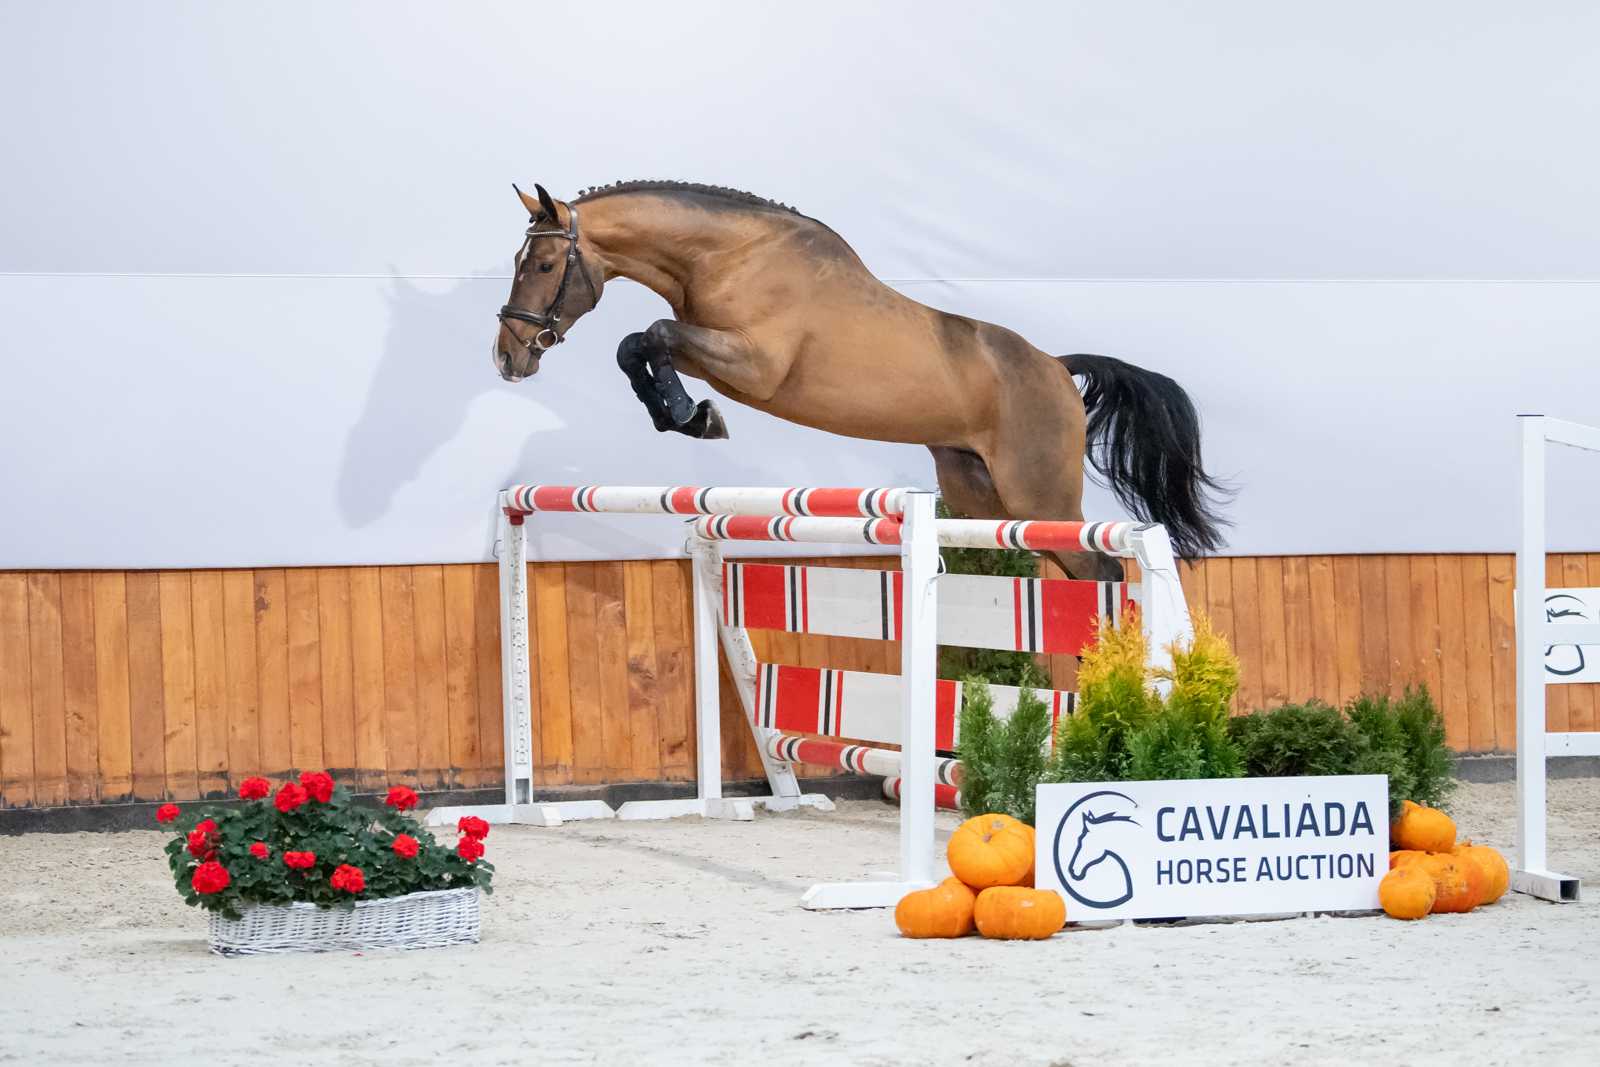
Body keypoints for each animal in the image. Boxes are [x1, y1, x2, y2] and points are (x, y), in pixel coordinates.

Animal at [491, 180, 1228, 580]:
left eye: (544, 263)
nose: (509, 356)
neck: (729, 255)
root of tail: (1054, 365)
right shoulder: (720, 354)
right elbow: (636, 344)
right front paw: (682, 414)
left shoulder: (754, 365)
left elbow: (653, 334)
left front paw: (692, 415)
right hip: (981, 491)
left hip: (1040, 494)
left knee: (1102, 567)